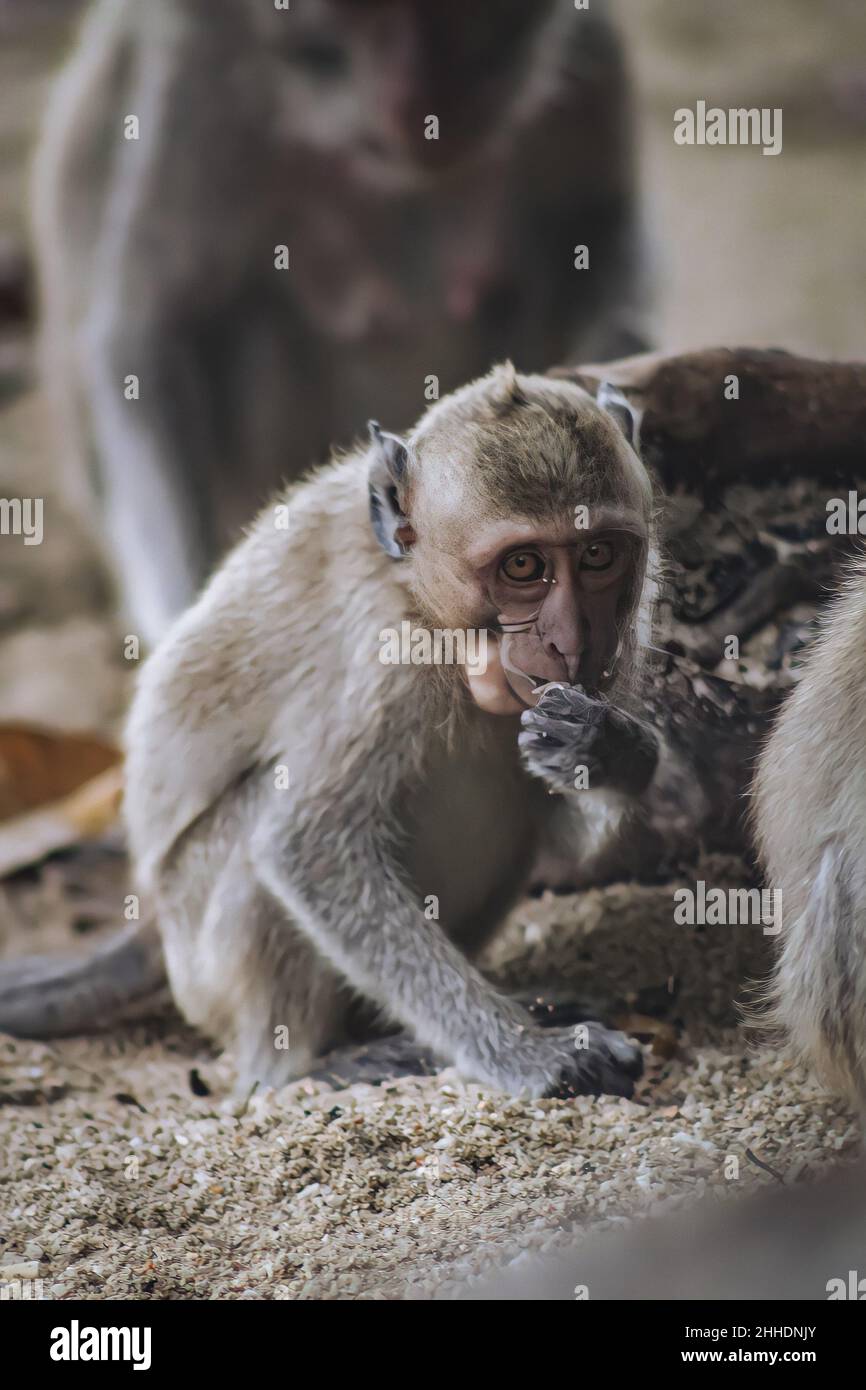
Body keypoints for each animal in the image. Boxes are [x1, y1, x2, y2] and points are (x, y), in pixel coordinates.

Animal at [33, 0, 639, 644]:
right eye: (355, 14)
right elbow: (152, 338)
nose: (419, 103)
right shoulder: (196, 68)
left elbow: (600, 241)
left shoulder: (590, 56)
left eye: (466, 16)